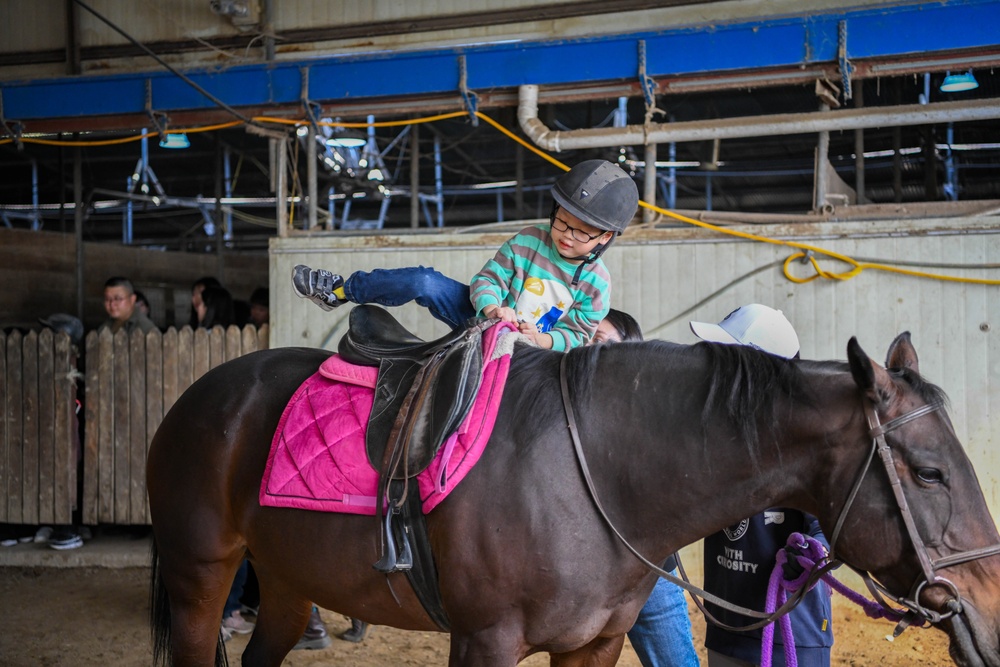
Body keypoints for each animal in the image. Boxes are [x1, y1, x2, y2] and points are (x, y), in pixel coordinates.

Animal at [146, 332, 1000, 664]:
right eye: (929, 472)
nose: (991, 615)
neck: (601, 484)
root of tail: (196, 396)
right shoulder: (484, 642)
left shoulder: (594, 645)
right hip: (199, 574)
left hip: (288, 582)